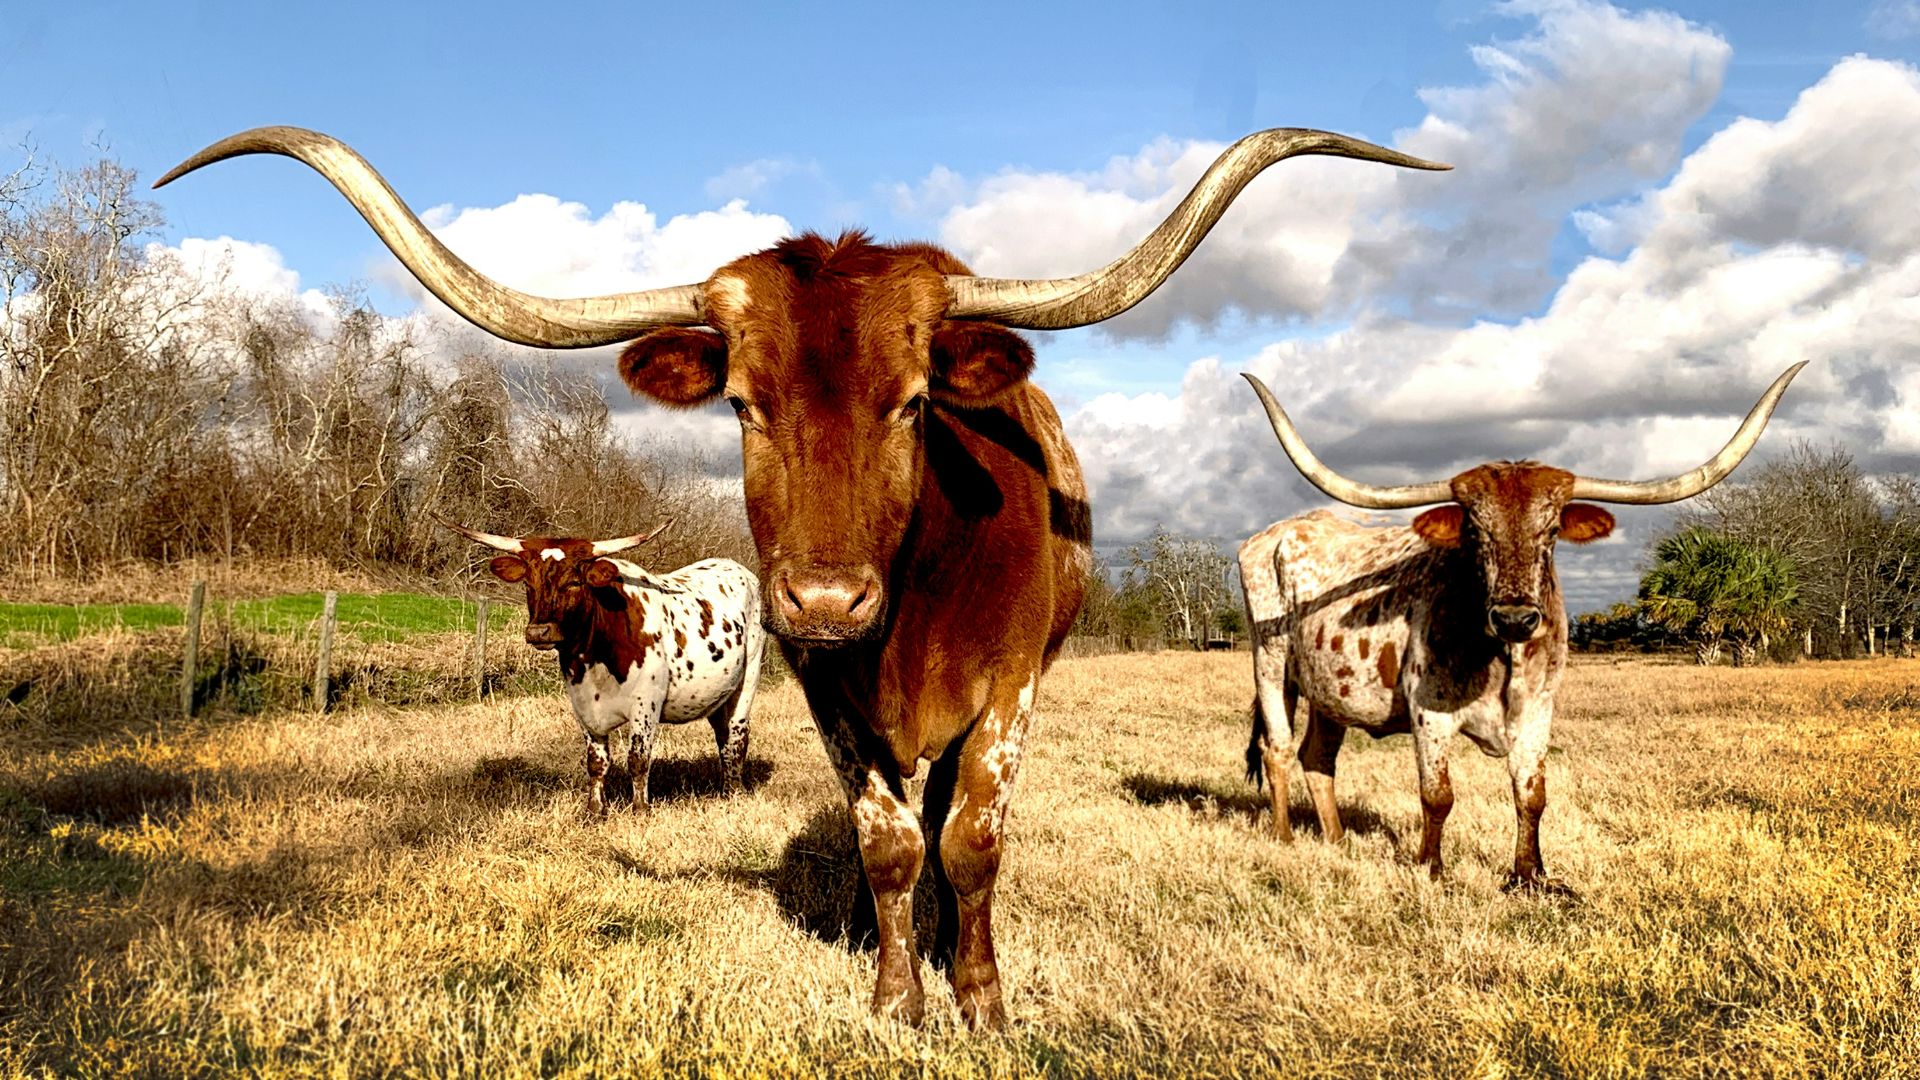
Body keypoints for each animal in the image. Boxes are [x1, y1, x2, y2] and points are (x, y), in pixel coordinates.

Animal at [438, 519, 764, 816]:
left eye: (574, 582)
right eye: (528, 584)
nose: (539, 632)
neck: (593, 657)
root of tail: (737, 568)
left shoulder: (646, 702)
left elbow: (638, 759)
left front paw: (640, 810)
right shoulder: (582, 704)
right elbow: (596, 762)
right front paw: (594, 810)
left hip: (747, 678)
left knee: (736, 738)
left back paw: (734, 794)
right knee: (723, 736)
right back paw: (725, 790)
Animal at [1238, 363, 1804, 893]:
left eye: (1550, 531)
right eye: (1474, 531)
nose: (1515, 618)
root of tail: (1274, 533)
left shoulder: (1538, 710)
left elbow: (1531, 795)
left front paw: (1529, 875)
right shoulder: (1428, 713)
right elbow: (1437, 795)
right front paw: (1431, 868)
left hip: (1329, 691)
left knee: (1318, 757)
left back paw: (1335, 841)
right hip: (1270, 662)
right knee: (1278, 748)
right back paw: (1284, 837)